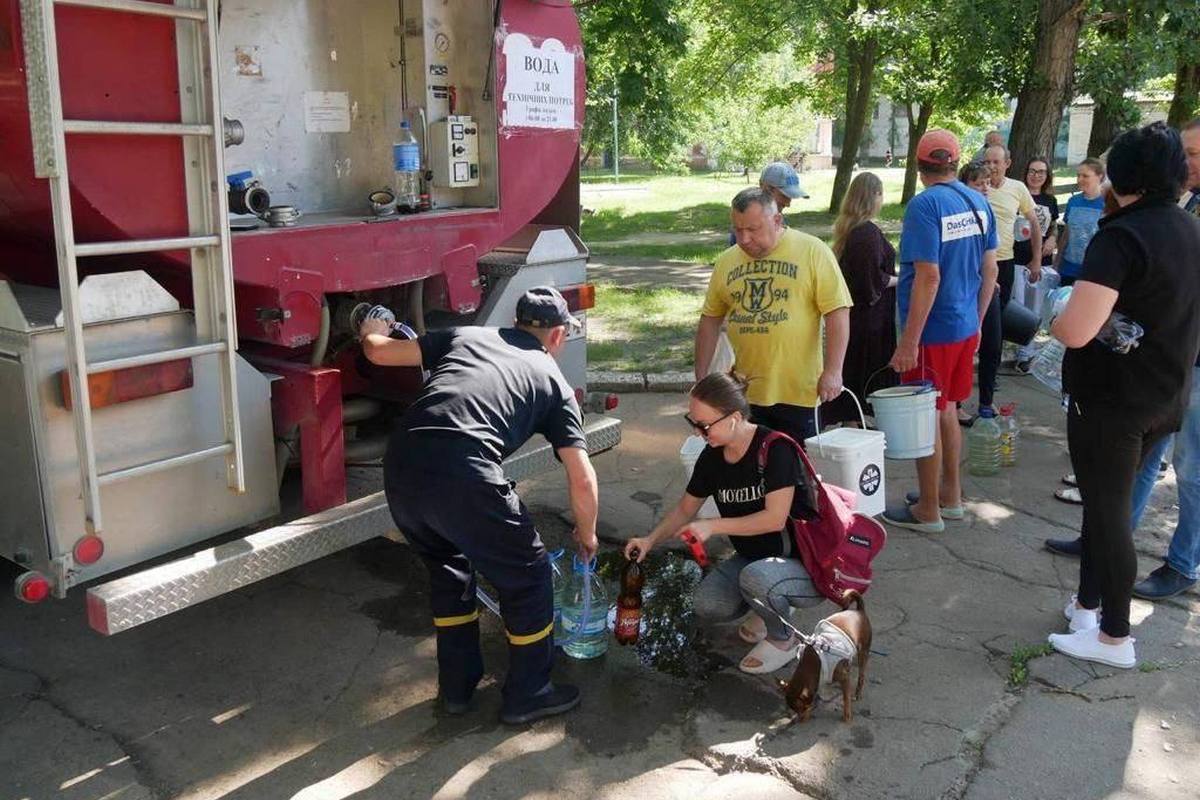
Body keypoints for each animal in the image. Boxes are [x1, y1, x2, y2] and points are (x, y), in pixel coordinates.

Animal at [777, 587, 873, 724]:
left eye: (802, 709)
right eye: (793, 710)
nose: (798, 720)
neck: (814, 662)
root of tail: (859, 610)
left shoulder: (844, 677)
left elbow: (846, 699)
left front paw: (847, 716)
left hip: (863, 652)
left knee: (861, 675)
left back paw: (857, 693)